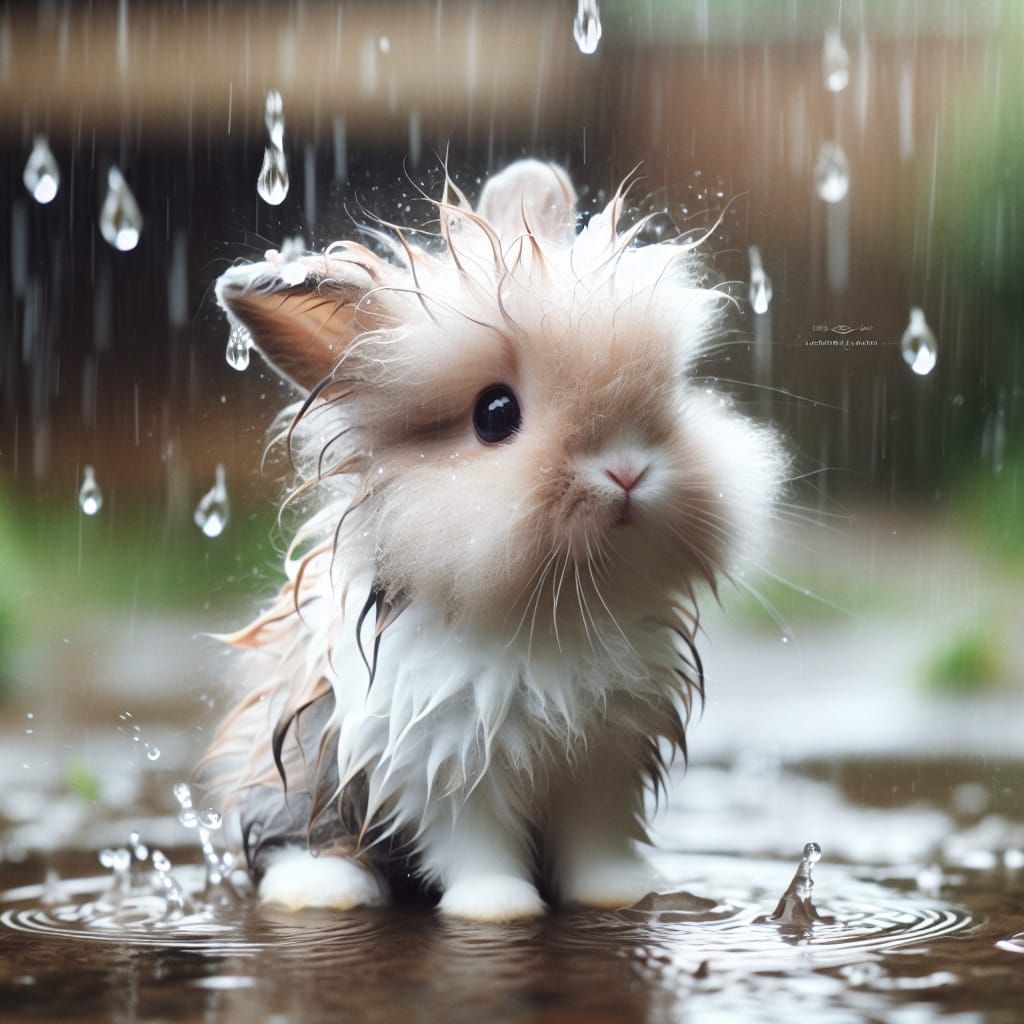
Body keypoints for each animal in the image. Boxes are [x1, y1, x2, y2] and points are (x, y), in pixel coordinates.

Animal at [199, 160, 785, 922]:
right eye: (495, 414)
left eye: (673, 391)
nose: (627, 471)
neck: (555, 609)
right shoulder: (444, 765)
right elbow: (475, 846)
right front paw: (499, 909)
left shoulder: (602, 762)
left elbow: (597, 841)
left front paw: (619, 896)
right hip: (302, 776)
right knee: (297, 840)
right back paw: (324, 890)